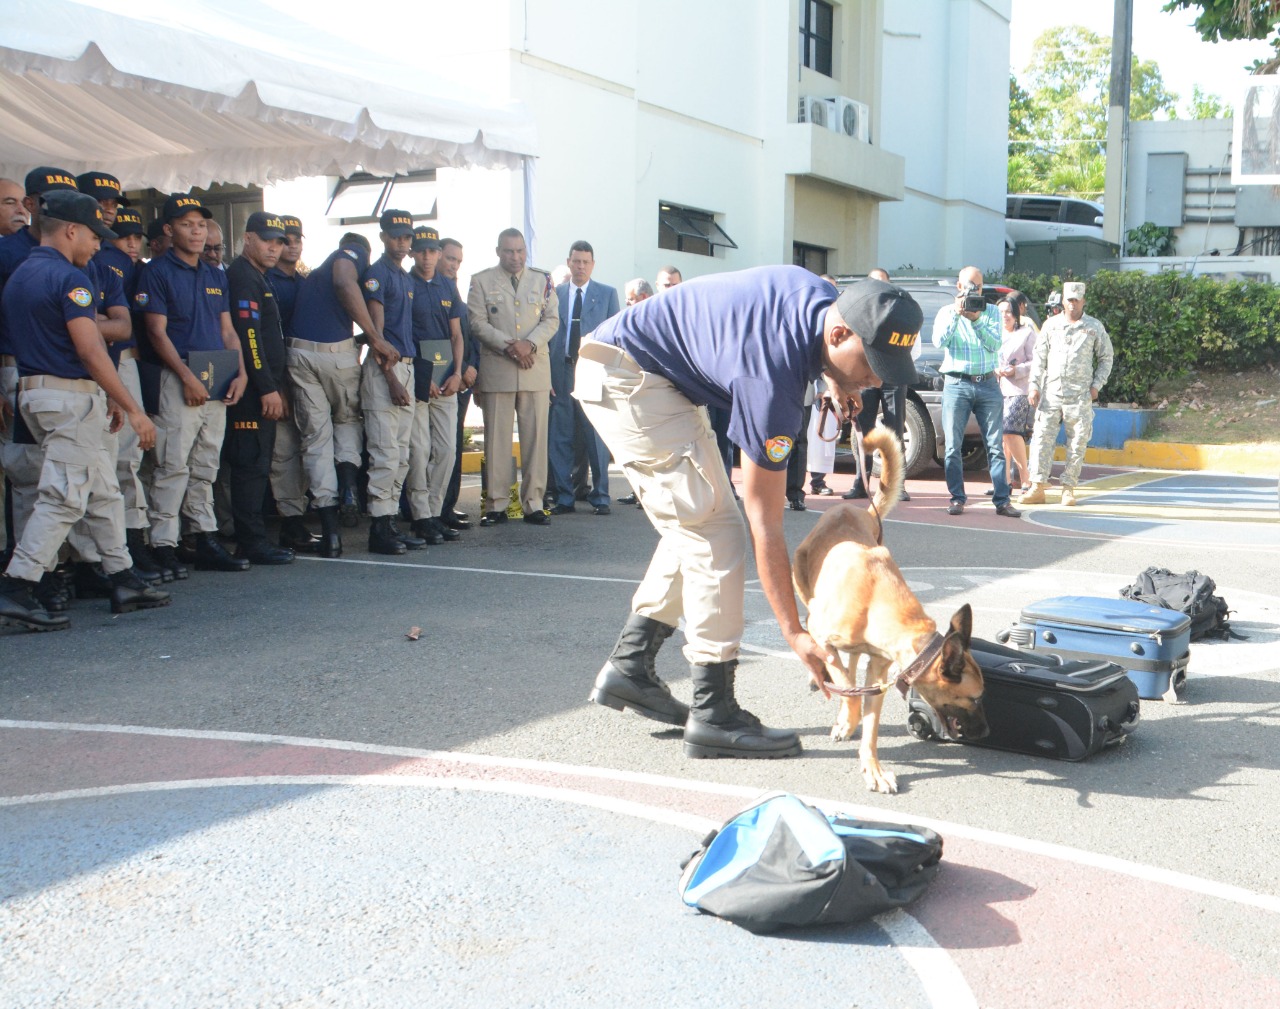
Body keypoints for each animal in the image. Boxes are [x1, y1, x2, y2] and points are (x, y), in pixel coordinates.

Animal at [788, 422, 988, 793]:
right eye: (975, 699)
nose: (986, 732)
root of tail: (858, 509)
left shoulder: (878, 674)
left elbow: (868, 720)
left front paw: (873, 768)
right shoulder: (824, 635)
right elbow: (848, 690)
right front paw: (847, 717)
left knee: (850, 663)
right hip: (805, 591)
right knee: (822, 645)